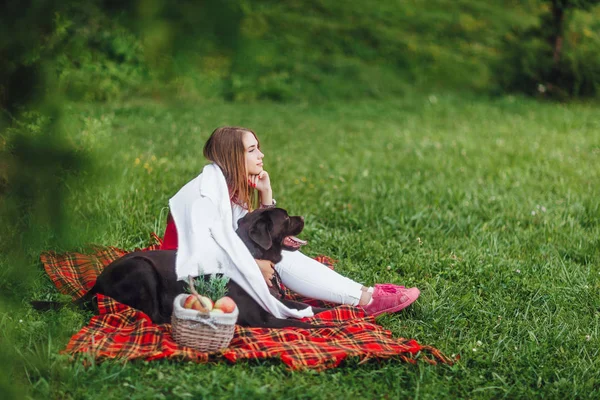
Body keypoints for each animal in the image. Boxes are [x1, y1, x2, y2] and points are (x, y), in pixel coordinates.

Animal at [74, 209, 328, 328]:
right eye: (285, 218)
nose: (303, 216)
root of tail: (96, 282)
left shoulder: (278, 302)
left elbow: (310, 308)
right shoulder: (260, 319)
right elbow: (300, 325)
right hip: (141, 269)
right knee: (154, 316)